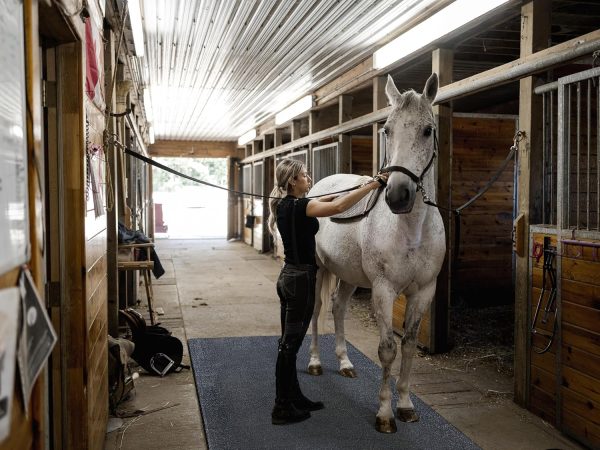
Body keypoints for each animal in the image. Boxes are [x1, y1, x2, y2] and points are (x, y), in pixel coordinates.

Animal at [308, 73, 442, 432]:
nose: (398, 195)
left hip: (349, 275)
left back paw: (344, 363)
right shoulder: (383, 290)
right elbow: (387, 349)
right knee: (316, 311)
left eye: (427, 130)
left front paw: (406, 405)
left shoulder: (424, 291)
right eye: (387, 130)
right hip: (318, 270)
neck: (412, 230)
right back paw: (314, 362)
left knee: (338, 307)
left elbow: (408, 346)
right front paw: (384, 413)